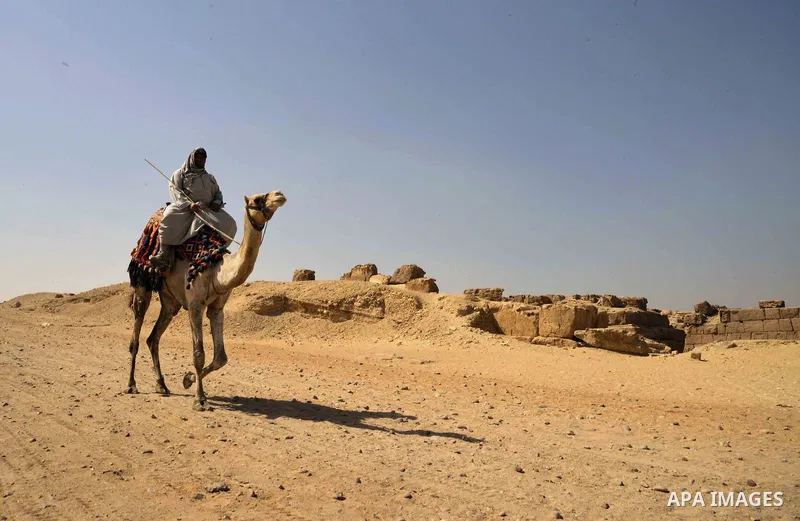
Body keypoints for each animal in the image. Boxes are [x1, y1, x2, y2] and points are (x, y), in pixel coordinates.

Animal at [126, 191, 286, 410]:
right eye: (257, 199)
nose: (280, 195)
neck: (216, 267)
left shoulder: (217, 307)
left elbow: (221, 358)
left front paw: (188, 379)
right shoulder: (195, 304)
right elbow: (199, 354)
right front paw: (200, 399)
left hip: (170, 300)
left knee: (153, 337)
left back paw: (162, 385)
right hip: (142, 281)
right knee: (137, 331)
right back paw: (131, 385)